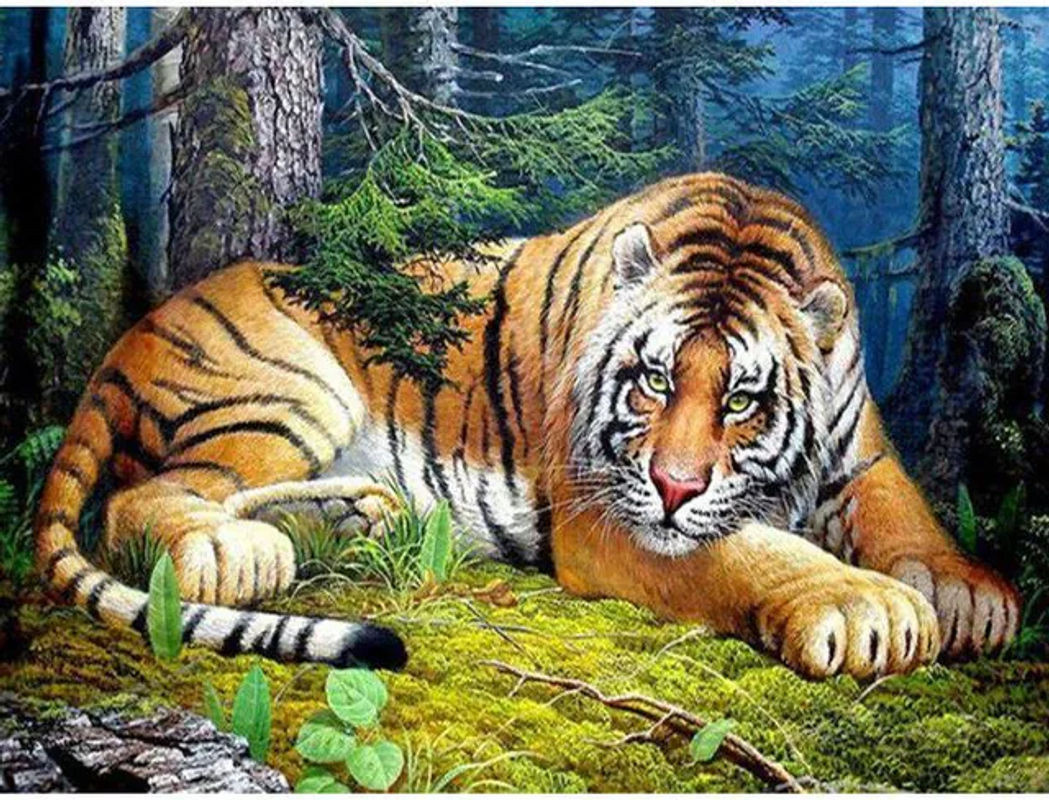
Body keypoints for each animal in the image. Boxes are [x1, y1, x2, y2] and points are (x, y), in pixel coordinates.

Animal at [34, 172, 1020, 679]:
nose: (673, 486)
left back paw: (351, 518)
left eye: (742, 400)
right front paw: (862, 606)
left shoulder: (862, 456)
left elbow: (905, 516)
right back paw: (241, 551)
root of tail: (129, 336)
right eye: (653, 381)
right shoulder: (606, 513)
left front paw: (969, 594)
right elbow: (750, 549)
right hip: (289, 387)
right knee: (142, 500)